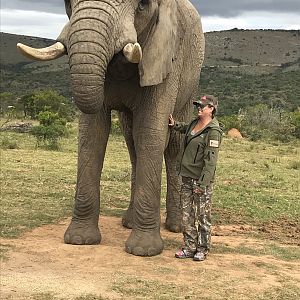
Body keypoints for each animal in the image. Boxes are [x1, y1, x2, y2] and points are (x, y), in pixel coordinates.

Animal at [17, 0, 205, 256]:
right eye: (67, 4)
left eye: (143, 5)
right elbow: (92, 132)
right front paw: (79, 239)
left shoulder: (166, 54)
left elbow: (150, 131)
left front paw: (144, 251)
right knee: (132, 142)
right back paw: (129, 222)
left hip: (190, 80)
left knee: (173, 146)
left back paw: (176, 226)